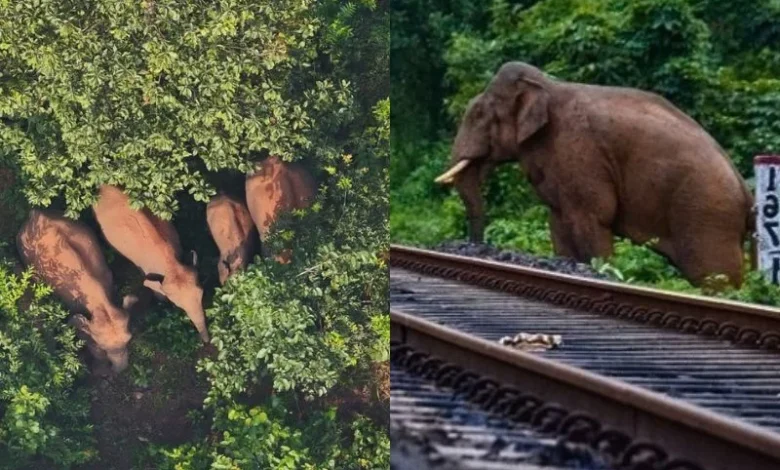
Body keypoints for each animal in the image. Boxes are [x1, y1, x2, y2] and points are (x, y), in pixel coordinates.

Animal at [92, 185, 209, 342]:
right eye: (178, 305)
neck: (170, 262)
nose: (207, 341)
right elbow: (151, 285)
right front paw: (161, 301)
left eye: (202, 294)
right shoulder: (148, 268)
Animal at [435, 62, 754, 287]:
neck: (548, 85)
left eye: (478, 115)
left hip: (707, 215)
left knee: (714, 277)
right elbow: (558, 221)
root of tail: (745, 191)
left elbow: (592, 217)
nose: (473, 246)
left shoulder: (580, 153)